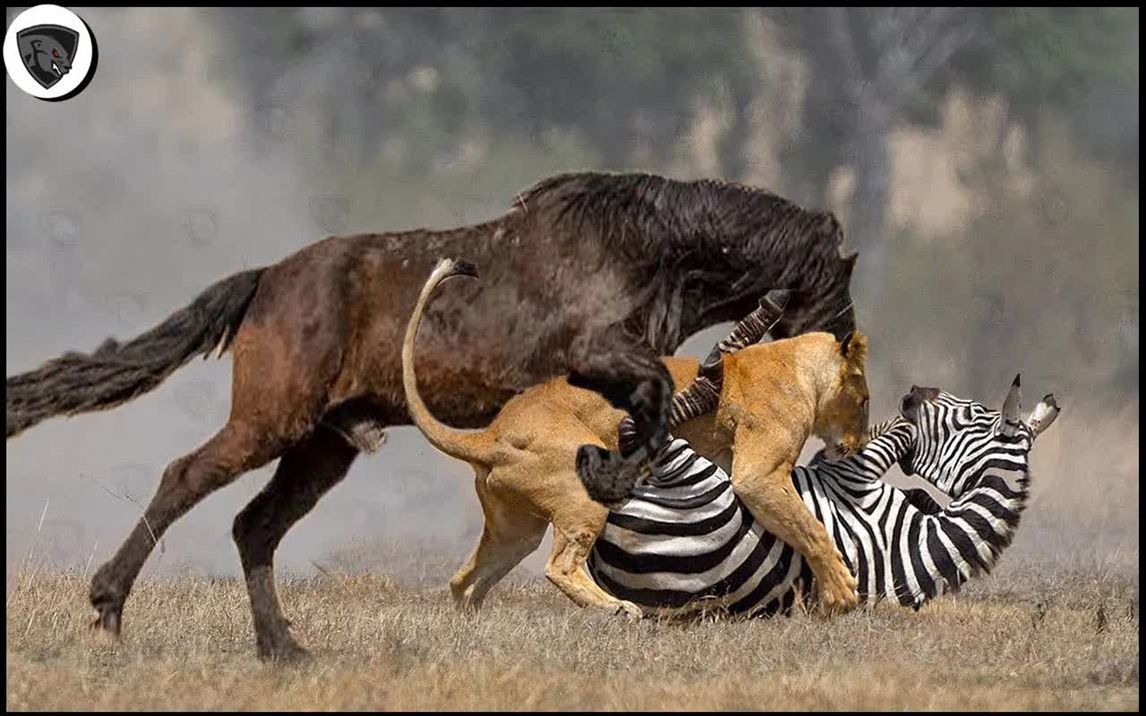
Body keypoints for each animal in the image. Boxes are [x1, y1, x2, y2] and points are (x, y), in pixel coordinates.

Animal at [4, 168, 857, 659]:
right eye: (834, 282)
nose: (844, 345)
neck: (646, 249)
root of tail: (267, 279)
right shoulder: (599, 358)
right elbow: (649, 403)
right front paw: (606, 479)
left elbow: (662, 410)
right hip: (271, 421)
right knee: (185, 478)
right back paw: (109, 608)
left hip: (323, 447)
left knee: (255, 525)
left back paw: (284, 649)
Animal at [586, 378, 1058, 618]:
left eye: (969, 414)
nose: (913, 392)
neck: (922, 545)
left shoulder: (852, 481)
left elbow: (892, 439)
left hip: (693, 479)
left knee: (640, 431)